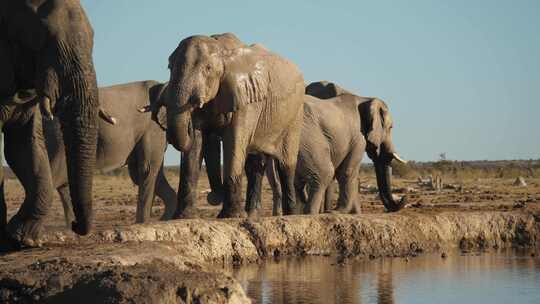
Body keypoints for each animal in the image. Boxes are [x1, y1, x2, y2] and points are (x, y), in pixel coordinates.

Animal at [158, 32, 306, 218]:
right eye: (170, 67)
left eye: (208, 69)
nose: (214, 197)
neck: (221, 50)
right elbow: (196, 145)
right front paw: (183, 217)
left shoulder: (247, 98)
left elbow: (233, 141)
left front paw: (230, 216)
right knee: (255, 164)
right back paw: (252, 214)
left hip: (295, 114)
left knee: (285, 164)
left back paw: (290, 214)